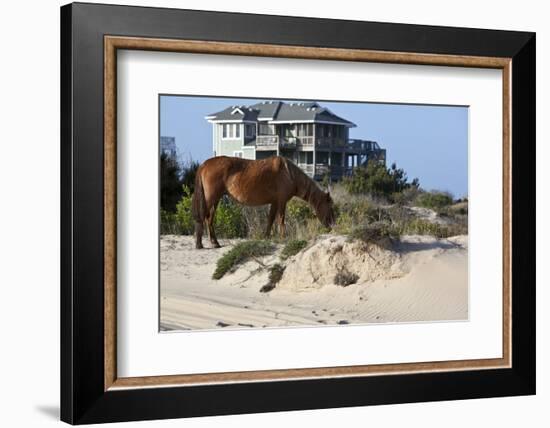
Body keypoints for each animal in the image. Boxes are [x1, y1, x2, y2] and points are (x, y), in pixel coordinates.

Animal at [192, 155, 338, 249]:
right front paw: (283, 237)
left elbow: (270, 219)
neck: (289, 173)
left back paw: (214, 242)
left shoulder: (274, 202)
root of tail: (204, 164)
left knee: (209, 219)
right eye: (330, 206)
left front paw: (266, 236)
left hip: (216, 199)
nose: (332, 225)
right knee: (204, 217)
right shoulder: (282, 201)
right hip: (211, 198)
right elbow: (281, 219)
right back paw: (199, 244)